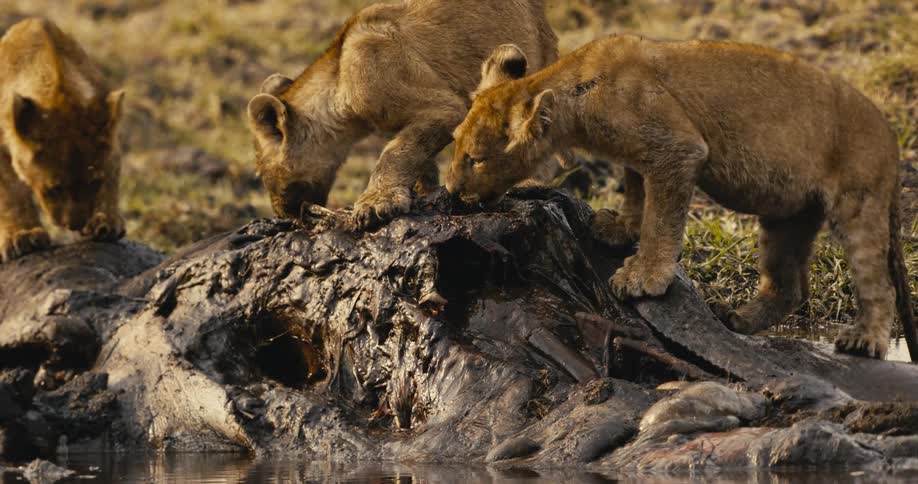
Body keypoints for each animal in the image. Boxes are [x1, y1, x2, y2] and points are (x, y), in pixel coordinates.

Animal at [0, 18, 125, 262]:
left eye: (93, 182)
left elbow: (111, 179)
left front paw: (106, 222)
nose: (74, 225)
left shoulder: (111, 141)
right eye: (55, 188)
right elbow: (11, 193)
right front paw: (22, 235)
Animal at [246, 0, 565, 229]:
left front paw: (376, 203)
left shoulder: (443, 107)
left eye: (260, 172)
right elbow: (418, 158)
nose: (283, 215)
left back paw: (528, 183)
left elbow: (395, 154)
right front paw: (422, 194)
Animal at [446, 36, 916, 360]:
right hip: (788, 216)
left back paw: (864, 339)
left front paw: (643, 277)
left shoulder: (678, 150)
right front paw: (619, 228)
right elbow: (636, 191)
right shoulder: (642, 154)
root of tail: (890, 135)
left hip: (859, 201)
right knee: (790, 286)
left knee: (878, 282)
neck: (574, 102)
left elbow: (661, 219)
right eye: (454, 144)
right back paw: (740, 319)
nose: (450, 190)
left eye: (476, 159)